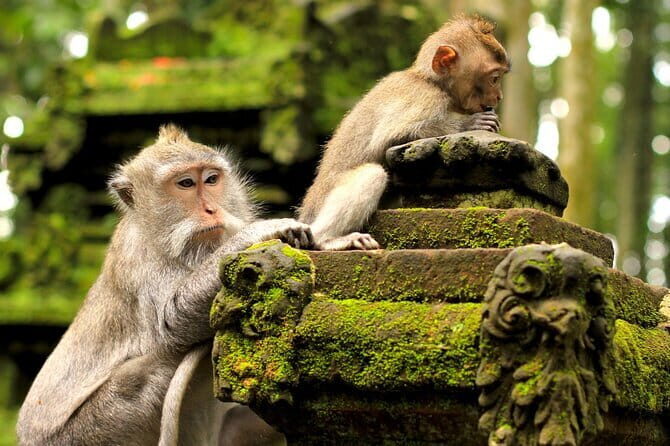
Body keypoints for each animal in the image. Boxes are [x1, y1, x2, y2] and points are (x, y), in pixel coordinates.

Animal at [16, 125, 311, 446]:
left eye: (211, 180)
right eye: (185, 183)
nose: (211, 209)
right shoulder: (140, 258)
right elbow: (171, 322)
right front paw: (257, 232)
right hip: (92, 430)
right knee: (151, 368)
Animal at [298, 15, 510, 250]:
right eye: (494, 78)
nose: (499, 96)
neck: (430, 80)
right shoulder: (426, 98)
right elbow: (390, 137)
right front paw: (470, 123)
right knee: (372, 174)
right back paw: (326, 239)